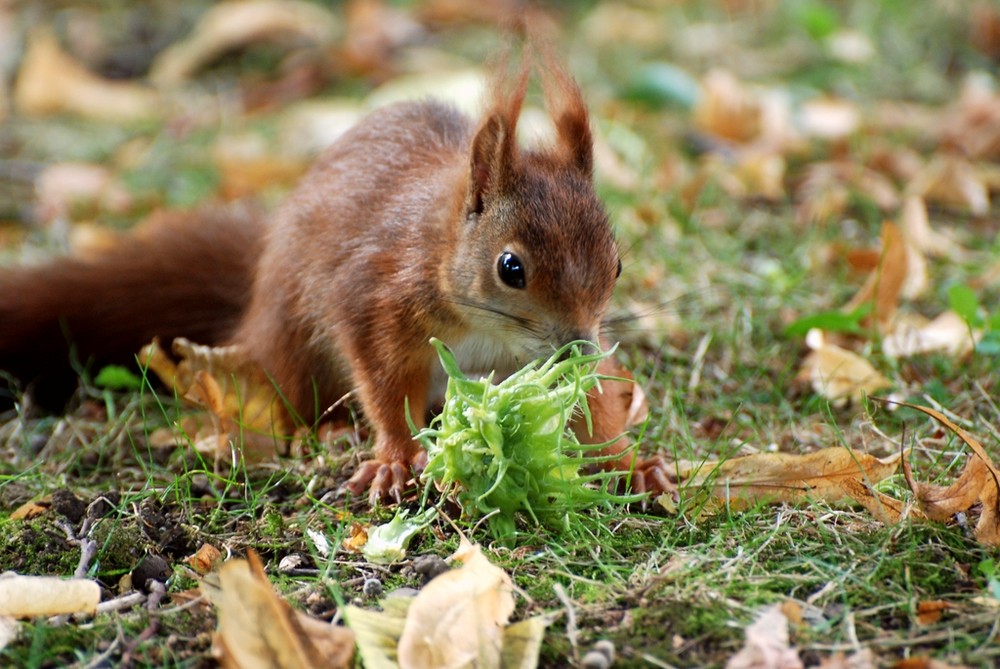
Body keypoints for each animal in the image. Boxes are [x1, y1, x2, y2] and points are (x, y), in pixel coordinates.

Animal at [0, 44, 676, 500]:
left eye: (617, 264)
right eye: (511, 268)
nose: (578, 348)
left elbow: (593, 404)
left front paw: (632, 465)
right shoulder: (376, 301)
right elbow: (384, 385)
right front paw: (396, 458)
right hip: (293, 343)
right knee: (290, 397)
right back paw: (320, 433)